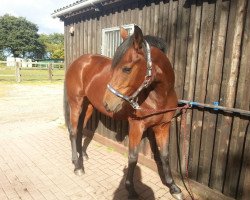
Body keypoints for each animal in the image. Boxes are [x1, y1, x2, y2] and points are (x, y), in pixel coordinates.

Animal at [63, 25, 183, 200]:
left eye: (127, 68)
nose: (108, 103)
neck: (159, 96)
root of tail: (79, 62)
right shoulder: (137, 126)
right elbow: (133, 157)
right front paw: (131, 189)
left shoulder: (163, 126)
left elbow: (165, 155)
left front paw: (173, 187)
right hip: (76, 103)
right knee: (72, 131)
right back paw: (77, 165)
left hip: (89, 106)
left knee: (79, 129)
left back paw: (82, 155)